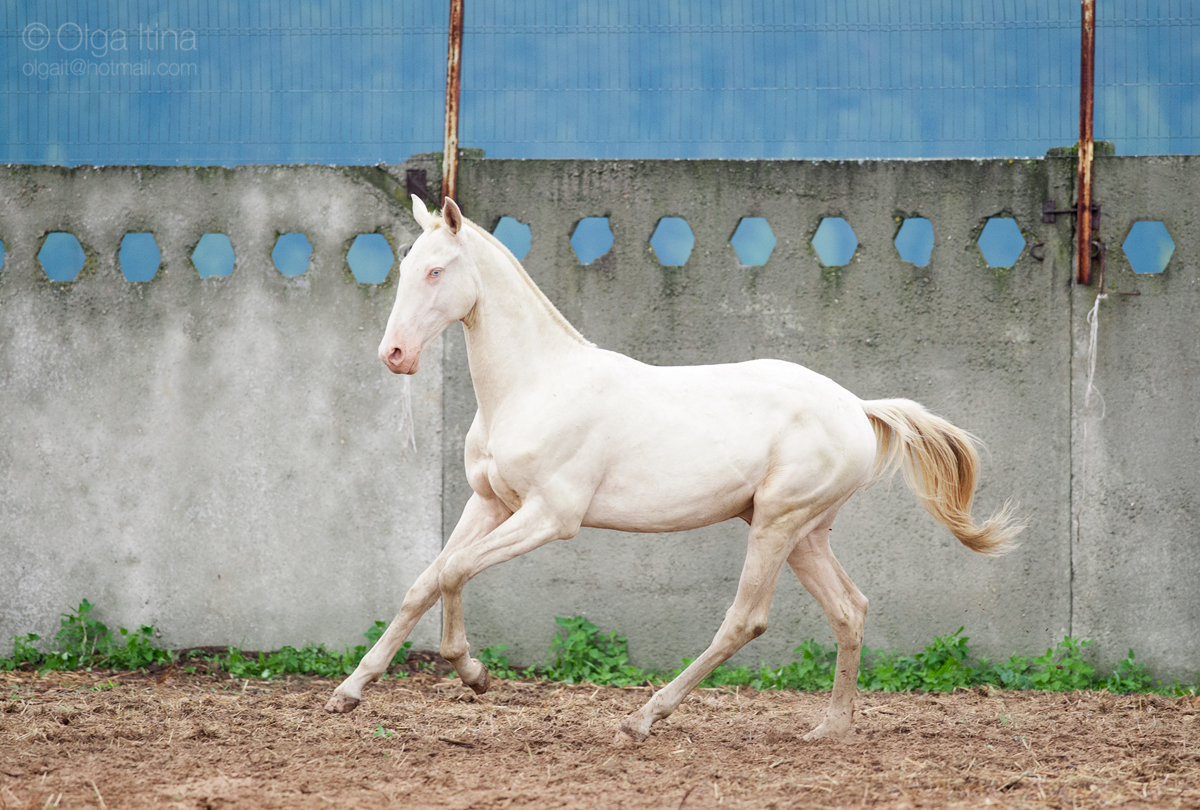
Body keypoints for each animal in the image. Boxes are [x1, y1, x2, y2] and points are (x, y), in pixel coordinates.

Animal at [328, 196, 1022, 739]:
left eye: (436, 270)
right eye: (404, 270)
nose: (395, 354)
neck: (535, 386)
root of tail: (857, 407)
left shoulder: (550, 516)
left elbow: (455, 572)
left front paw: (474, 674)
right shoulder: (490, 502)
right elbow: (425, 581)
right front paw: (349, 692)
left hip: (777, 522)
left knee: (745, 620)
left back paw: (643, 718)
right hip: (804, 533)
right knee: (850, 609)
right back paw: (829, 728)